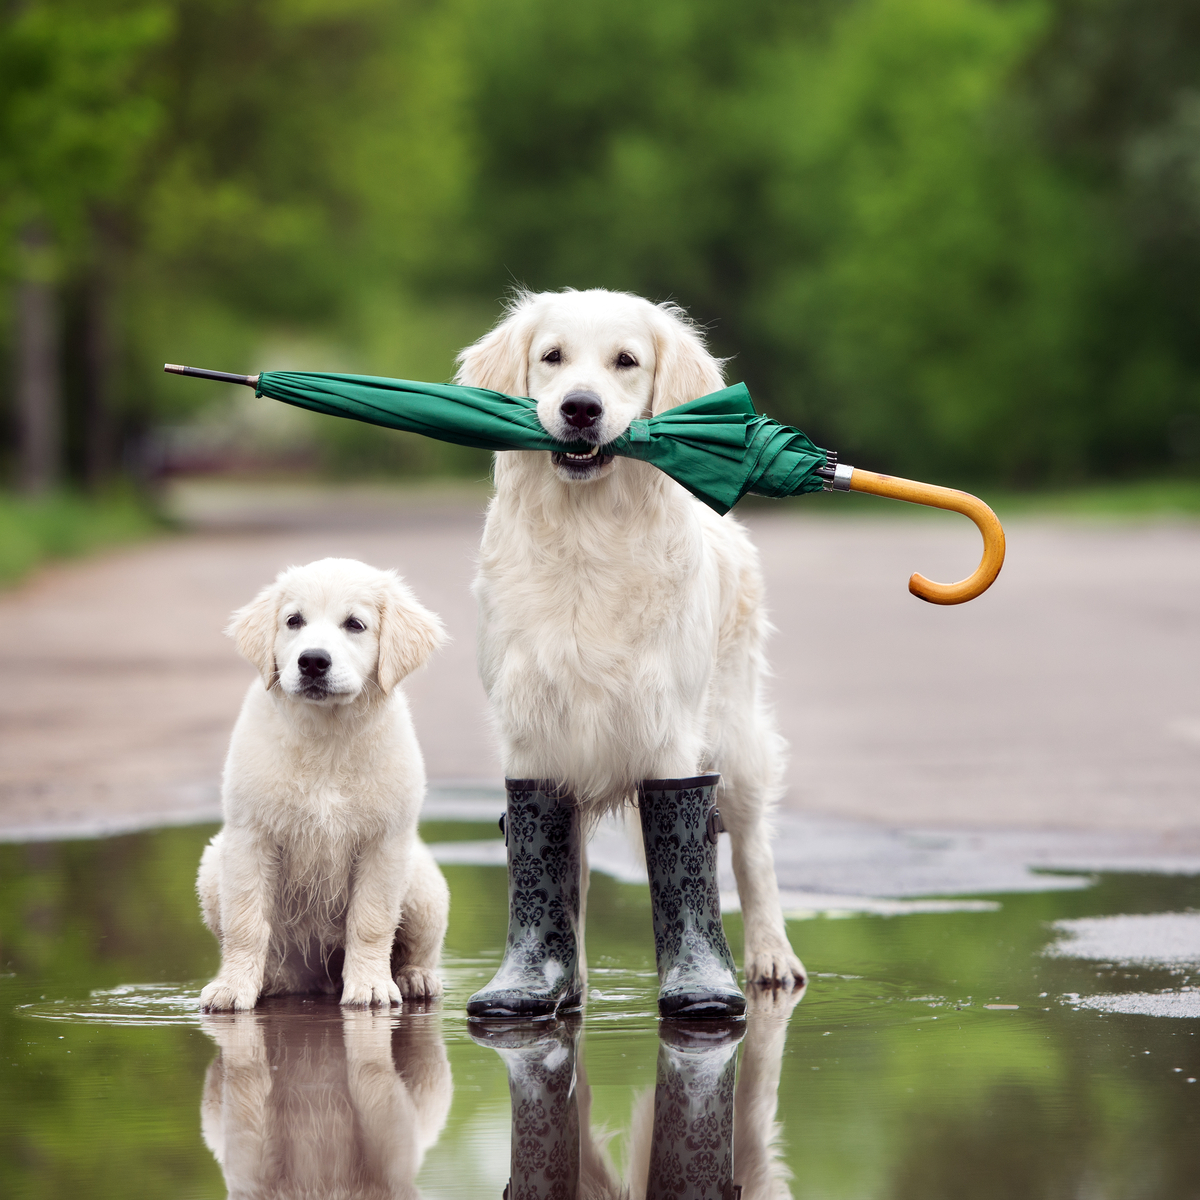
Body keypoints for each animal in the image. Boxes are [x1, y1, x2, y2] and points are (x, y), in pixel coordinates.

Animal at [196, 556, 451, 1008]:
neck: (327, 738)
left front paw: (370, 986)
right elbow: (245, 923)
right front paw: (233, 988)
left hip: (424, 886)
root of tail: (318, 982)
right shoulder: (249, 836)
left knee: (419, 946)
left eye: (355, 624)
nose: (313, 661)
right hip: (213, 866)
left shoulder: (384, 842)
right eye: (293, 621)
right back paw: (271, 981)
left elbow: (371, 921)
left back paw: (414, 978)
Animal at [458, 283, 806, 1022]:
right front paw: (548, 982)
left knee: (751, 851)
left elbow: (692, 851)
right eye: (552, 357)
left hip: (736, 735)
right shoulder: (533, 733)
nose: (579, 409)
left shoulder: (668, 729)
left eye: (626, 361)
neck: (586, 537)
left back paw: (771, 957)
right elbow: (553, 868)